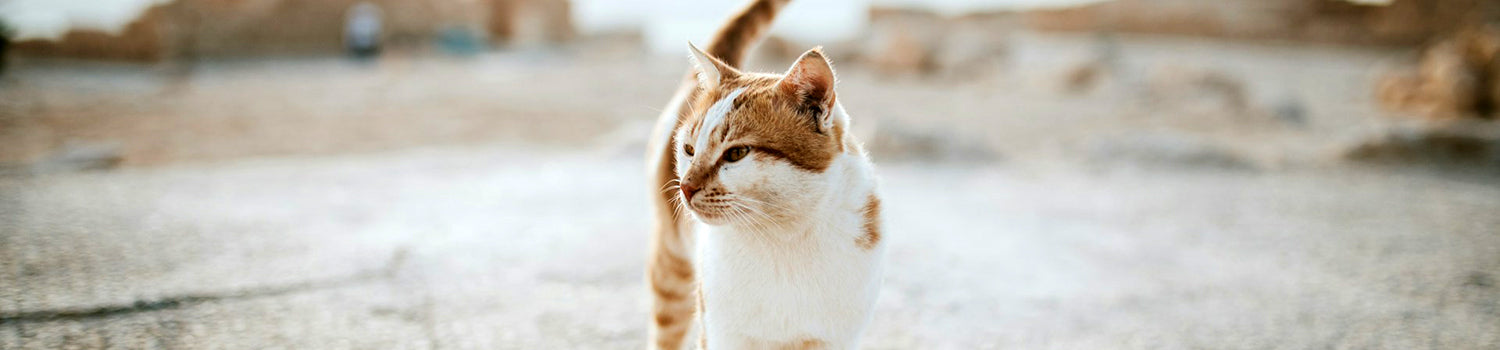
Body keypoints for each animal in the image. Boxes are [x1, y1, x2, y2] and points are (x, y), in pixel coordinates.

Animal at [642, 1, 882, 348]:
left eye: (736, 153)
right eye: (689, 149)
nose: (685, 188)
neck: (783, 238)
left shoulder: (832, 337)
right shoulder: (722, 333)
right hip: (672, 271)